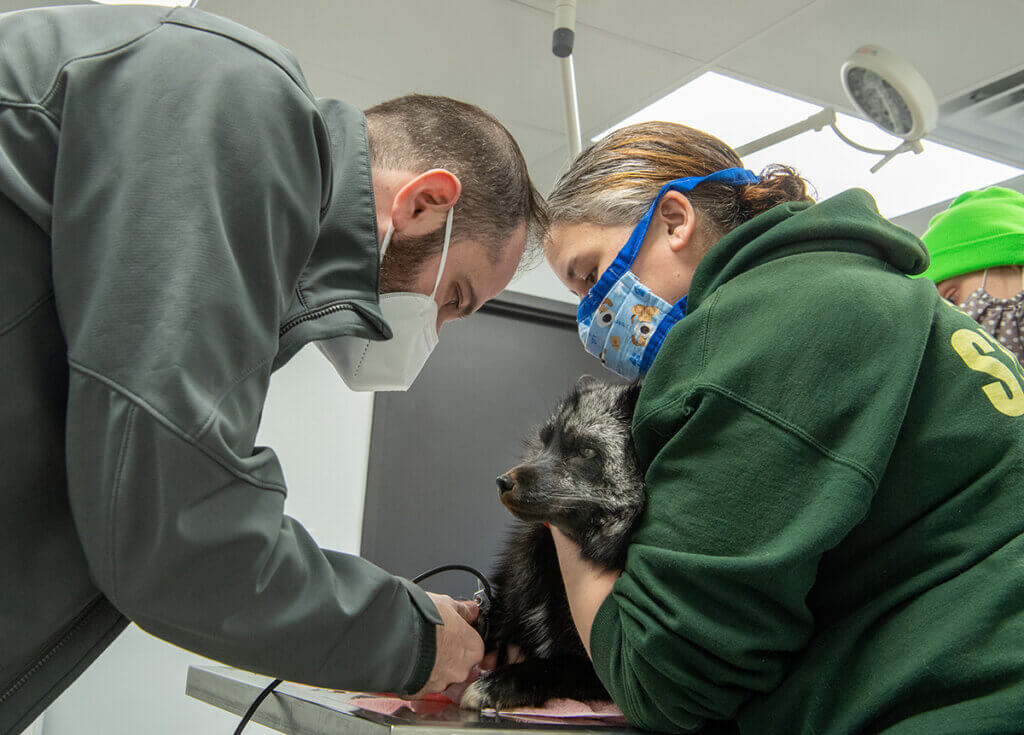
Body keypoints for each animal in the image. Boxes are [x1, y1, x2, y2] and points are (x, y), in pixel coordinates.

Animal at [462, 376, 643, 712]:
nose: (502, 482)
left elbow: (555, 666)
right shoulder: (502, 603)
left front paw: (498, 682)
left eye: (585, 450)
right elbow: (477, 624)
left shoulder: (596, 673)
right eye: (546, 441)